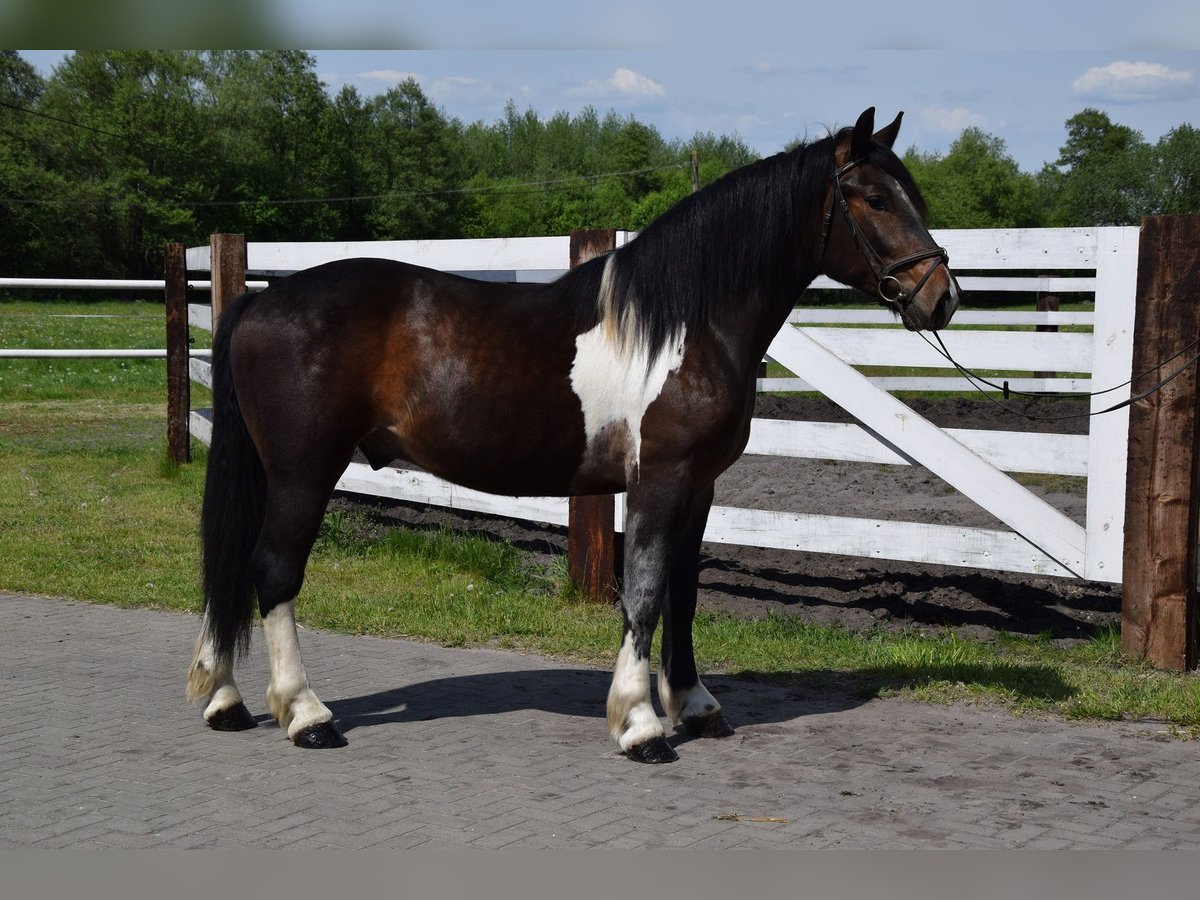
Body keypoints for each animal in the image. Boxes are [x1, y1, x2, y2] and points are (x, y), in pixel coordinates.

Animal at [184, 107, 955, 768]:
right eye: (875, 199)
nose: (941, 296)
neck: (684, 325)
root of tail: (259, 301)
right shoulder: (659, 482)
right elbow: (643, 592)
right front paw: (641, 725)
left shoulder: (701, 487)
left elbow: (684, 591)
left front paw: (695, 705)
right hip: (303, 471)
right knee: (273, 570)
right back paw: (306, 715)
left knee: (233, 563)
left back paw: (224, 700)